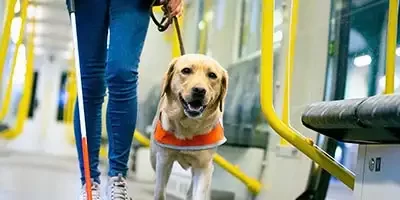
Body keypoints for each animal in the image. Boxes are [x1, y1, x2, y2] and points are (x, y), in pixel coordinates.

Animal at [149, 53, 228, 200]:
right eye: (186, 71)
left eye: (212, 75)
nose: (199, 90)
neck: (188, 125)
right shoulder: (164, 160)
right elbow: (160, 191)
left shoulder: (204, 166)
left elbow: (199, 193)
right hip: (153, 156)